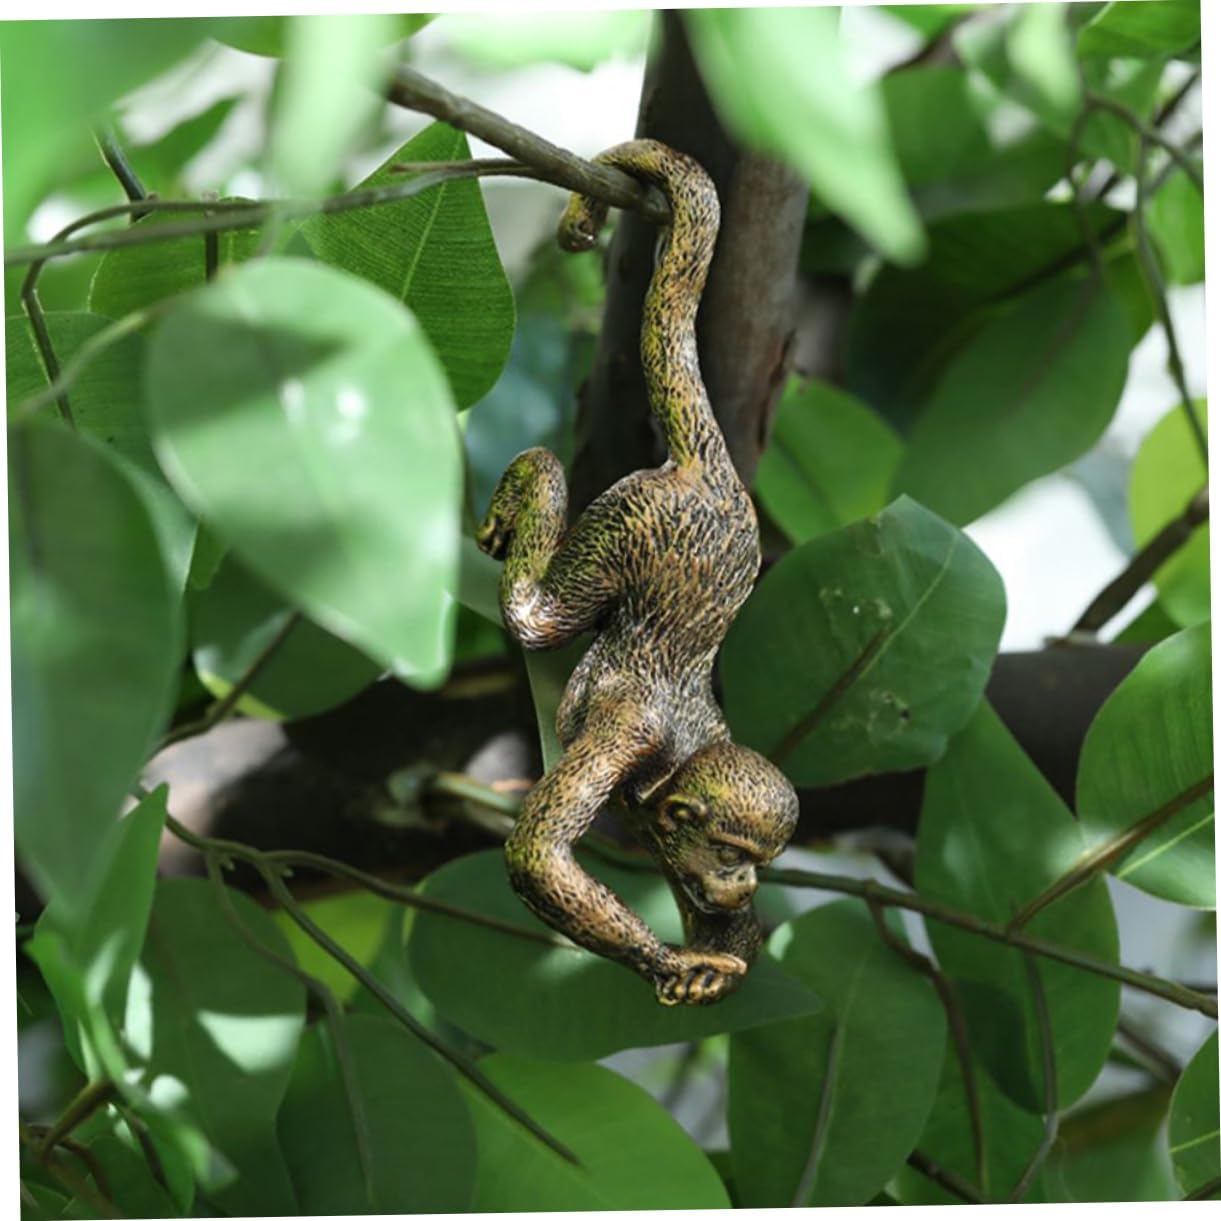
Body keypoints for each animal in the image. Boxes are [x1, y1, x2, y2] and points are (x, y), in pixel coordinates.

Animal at [476, 139, 799, 1006]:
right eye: (730, 851)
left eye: (758, 864)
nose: (744, 881)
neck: (675, 769)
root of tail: (710, 471)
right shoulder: (627, 734)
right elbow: (537, 855)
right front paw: (668, 961)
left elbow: (726, 932)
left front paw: (709, 968)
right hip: (633, 518)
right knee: (538, 618)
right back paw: (534, 477)